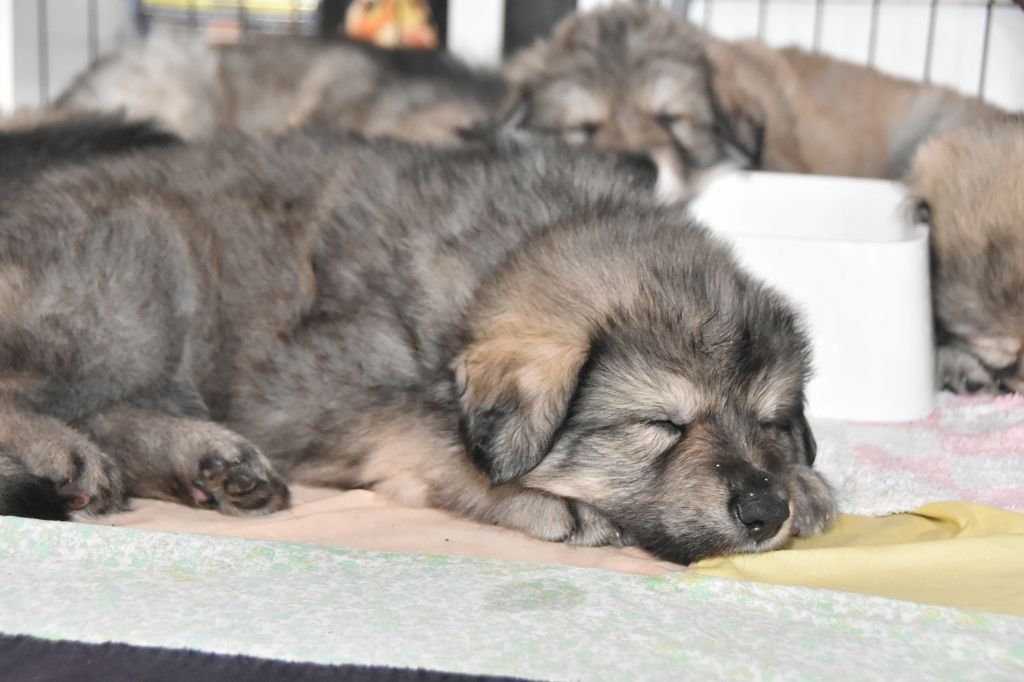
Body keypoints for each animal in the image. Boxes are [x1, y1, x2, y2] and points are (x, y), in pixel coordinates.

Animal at [0, 131, 834, 563]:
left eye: (771, 420)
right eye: (662, 424)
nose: (763, 511)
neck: (495, 260)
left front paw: (807, 484)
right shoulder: (317, 395)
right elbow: (433, 435)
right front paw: (542, 501)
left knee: (112, 412)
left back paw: (210, 464)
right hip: (138, 264)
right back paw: (65, 455)